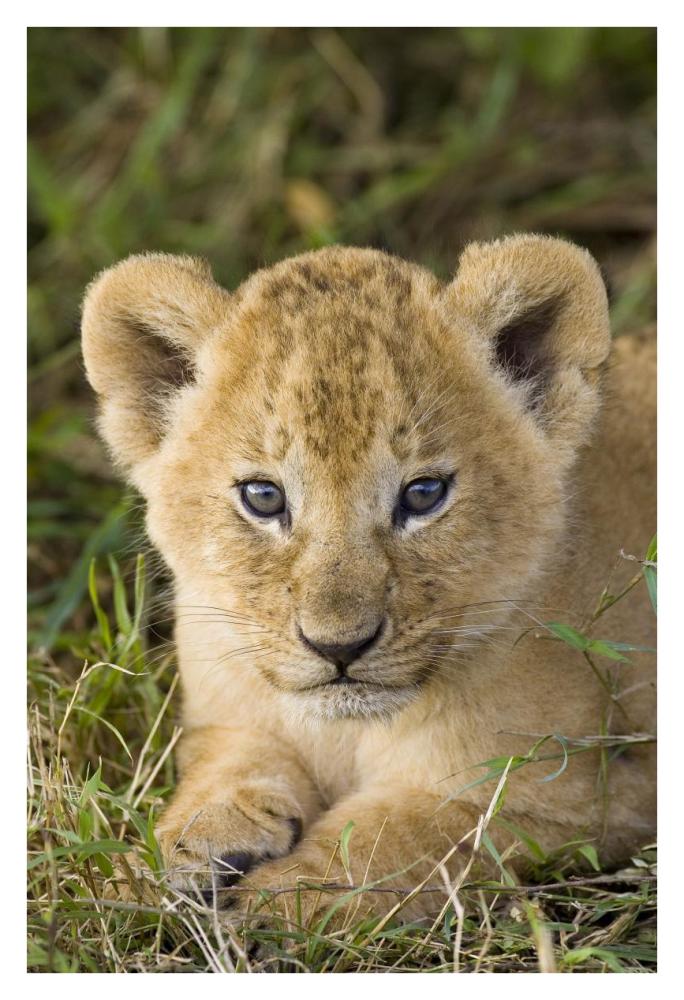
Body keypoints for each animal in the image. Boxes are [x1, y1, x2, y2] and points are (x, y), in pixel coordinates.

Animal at [81, 235, 656, 926]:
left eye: (425, 493)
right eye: (264, 497)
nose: (339, 647)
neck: (345, 732)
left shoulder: (572, 796)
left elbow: (393, 840)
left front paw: (271, 906)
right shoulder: (225, 717)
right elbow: (227, 769)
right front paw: (165, 859)